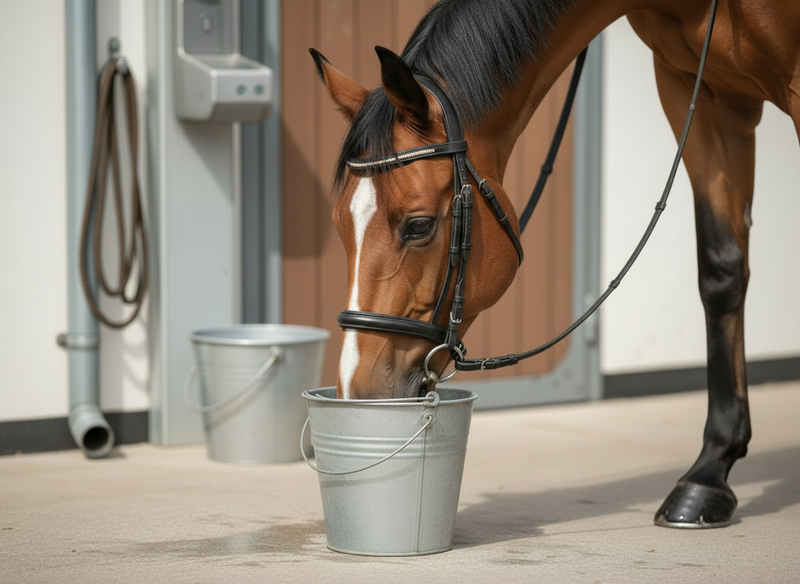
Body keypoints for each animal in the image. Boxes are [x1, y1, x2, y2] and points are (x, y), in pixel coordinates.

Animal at [310, 0, 800, 529]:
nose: (359, 390)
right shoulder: (700, 92)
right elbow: (721, 271)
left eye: (418, 226)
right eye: (338, 225)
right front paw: (709, 475)